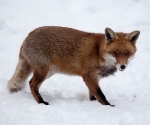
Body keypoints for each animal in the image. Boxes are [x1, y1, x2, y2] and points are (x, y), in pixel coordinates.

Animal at [7, 26, 140, 105]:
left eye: (127, 53)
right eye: (115, 53)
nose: (122, 66)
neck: (98, 52)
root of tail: (28, 35)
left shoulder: (94, 78)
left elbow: (93, 96)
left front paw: (93, 105)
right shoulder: (88, 76)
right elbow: (101, 95)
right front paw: (109, 106)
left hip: (49, 72)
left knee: (30, 83)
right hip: (44, 72)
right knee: (32, 84)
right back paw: (41, 102)